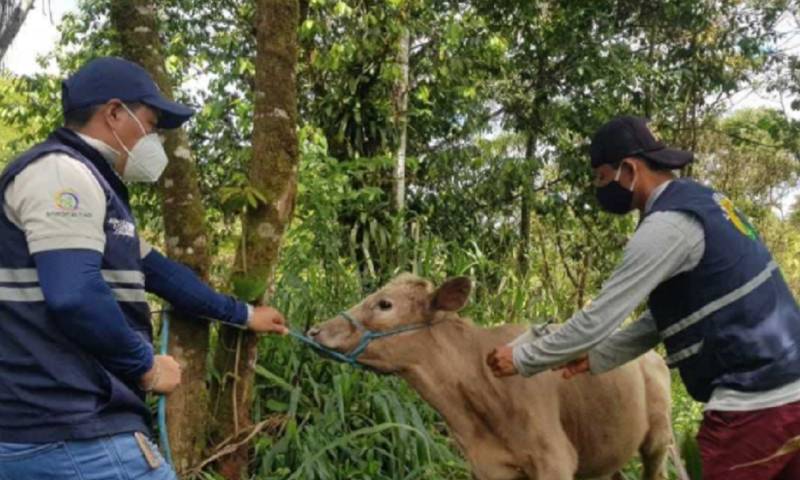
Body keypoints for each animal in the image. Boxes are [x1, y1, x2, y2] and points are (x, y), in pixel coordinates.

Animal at [310, 274, 672, 480]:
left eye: (385, 303)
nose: (316, 330)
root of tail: (655, 357)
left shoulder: (555, 460)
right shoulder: (489, 467)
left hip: (658, 442)